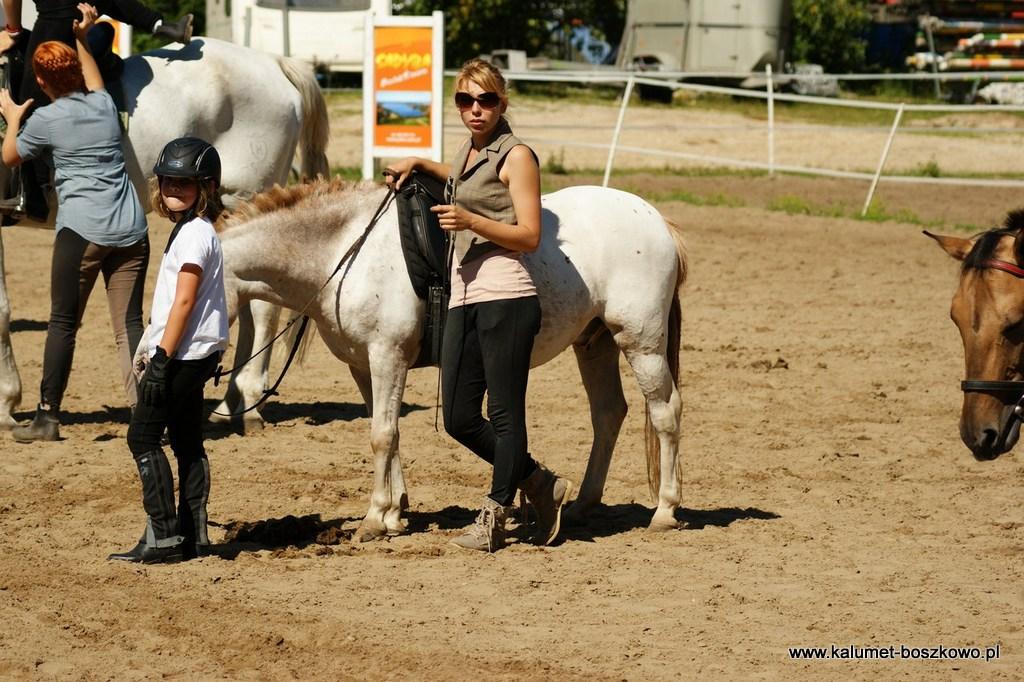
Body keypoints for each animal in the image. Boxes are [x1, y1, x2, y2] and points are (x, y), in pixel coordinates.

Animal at [0, 37, 330, 426]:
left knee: (263, 307)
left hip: (248, 196)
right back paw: (232, 404)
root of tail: (273, 62)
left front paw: (6, 404)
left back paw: (246, 399)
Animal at [213, 180, 688, 540]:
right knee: (608, 413)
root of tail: (656, 219)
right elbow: (388, 432)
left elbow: (382, 435)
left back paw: (665, 511)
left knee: (665, 412)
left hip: (641, 341)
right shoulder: (363, 365)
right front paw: (396, 513)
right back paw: (582, 504)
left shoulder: (388, 356)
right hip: (595, 343)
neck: (345, 251)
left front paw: (375, 518)